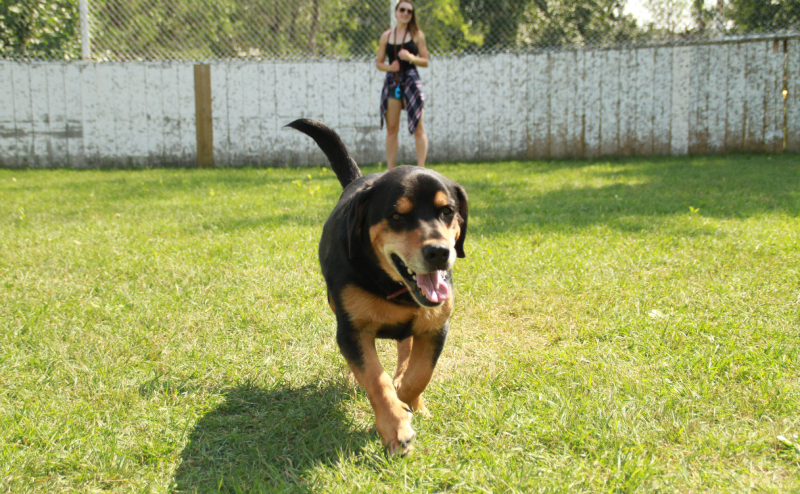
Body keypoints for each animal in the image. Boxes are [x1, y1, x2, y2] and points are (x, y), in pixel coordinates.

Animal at [288, 118, 466, 456]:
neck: (390, 286)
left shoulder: (436, 326)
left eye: (447, 211)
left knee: (405, 351)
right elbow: (375, 379)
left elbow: (420, 374)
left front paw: (408, 403)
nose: (439, 252)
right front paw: (396, 428)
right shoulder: (352, 330)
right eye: (397, 215)